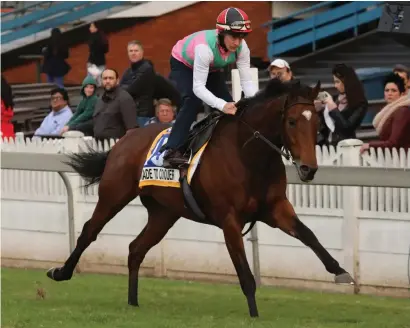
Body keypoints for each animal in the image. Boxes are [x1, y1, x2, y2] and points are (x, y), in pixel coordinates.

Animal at [46, 79, 354, 318]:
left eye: (316, 123)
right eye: (291, 121)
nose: (309, 169)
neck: (249, 156)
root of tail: (124, 139)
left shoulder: (275, 208)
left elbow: (308, 234)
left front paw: (340, 271)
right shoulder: (230, 219)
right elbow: (245, 273)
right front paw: (254, 315)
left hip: (164, 213)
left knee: (136, 248)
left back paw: (133, 302)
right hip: (114, 195)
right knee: (90, 231)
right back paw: (61, 272)